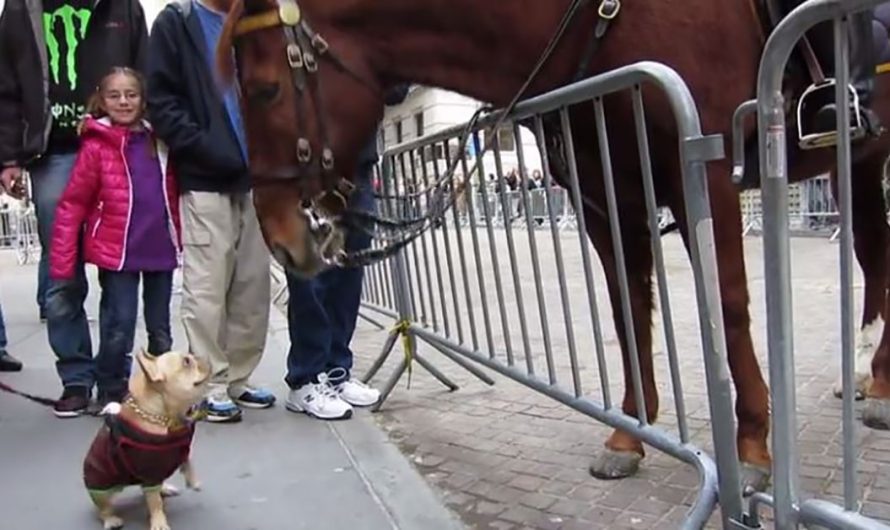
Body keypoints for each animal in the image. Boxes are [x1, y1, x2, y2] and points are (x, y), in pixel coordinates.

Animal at [215, 0, 888, 488]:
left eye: (265, 90)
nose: (279, 237)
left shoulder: (707, 166)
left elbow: (727, 303)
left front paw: (750, 445)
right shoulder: (604, 195)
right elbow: (627, 311)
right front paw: (628, 435)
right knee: (873, 251)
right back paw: (870, 379)